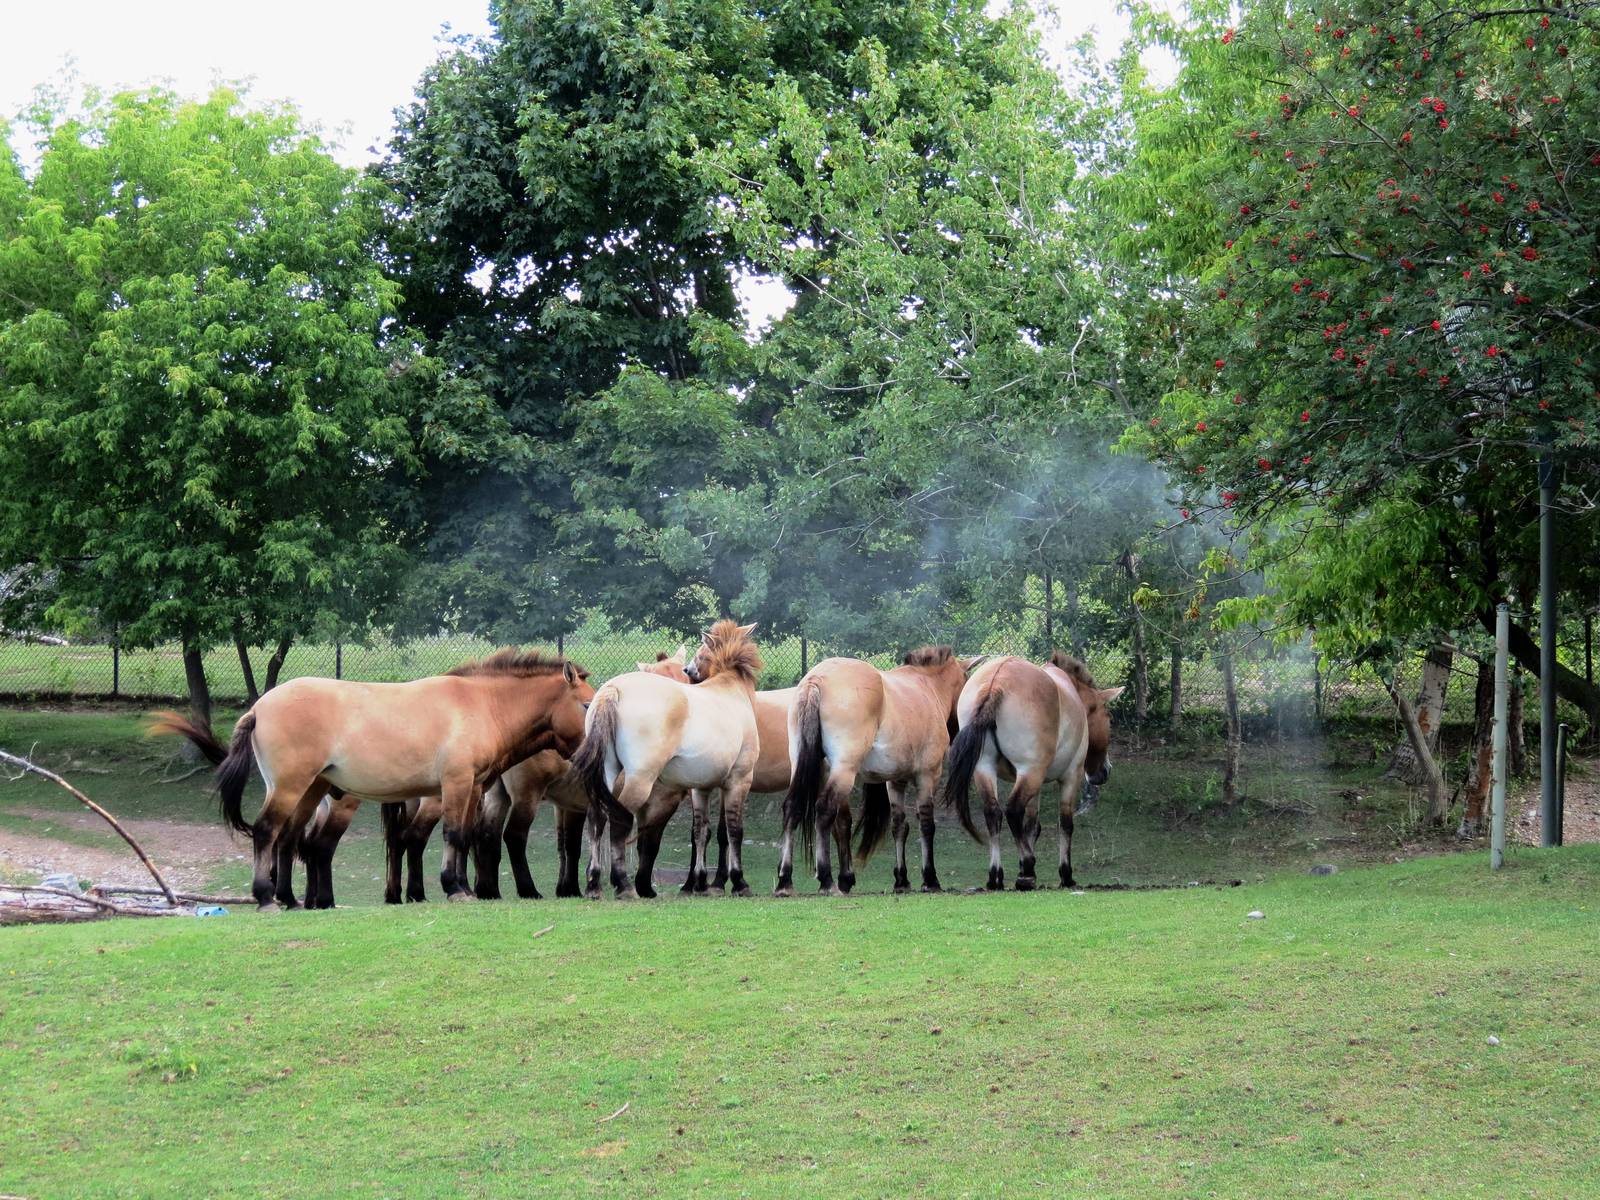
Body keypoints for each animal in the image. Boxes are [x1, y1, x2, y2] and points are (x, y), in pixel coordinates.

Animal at [153, 649, 594, 908]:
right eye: (588, 704)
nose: (592, 754)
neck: (481, 703)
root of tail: (259, 707)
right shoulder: (454, 784)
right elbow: (453, 835)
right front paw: (454, 888)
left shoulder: (474, 788)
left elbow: (465, 837)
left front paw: (465, 887)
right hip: (291, 787)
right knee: (267, 831)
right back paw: (267, 898)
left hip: (311, 790)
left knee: (290, 839)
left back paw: (293, 899)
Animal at [573, 620, 762, 898]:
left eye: (700, 650)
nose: (689, 670)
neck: (730, 688)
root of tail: (613, 689)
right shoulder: (739, 780)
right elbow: (734, 831)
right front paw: (739, 882)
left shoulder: (701, 788)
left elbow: (701, 831)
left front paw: (699, 883)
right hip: (640, 780)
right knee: (619, 820)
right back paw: (624, 885)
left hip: (606, 774)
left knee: (597, 818)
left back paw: (594, 883)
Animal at [778, 646, 976, 896]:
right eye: (966, 683)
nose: (958, 727)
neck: (926, 687)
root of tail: (816, 680)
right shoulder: (927, 775)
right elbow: (926, 824)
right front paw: (930, 879)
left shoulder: (896, 781)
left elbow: (898, 826)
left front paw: (900, 880)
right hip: (844, 770)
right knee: (824, 812)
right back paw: (826, 880)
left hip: (812, 768)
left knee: (799, 810)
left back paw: (786, 880)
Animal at [943, 651, 1122, 890]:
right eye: (1109, 718)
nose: (1104, 771)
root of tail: (996, 682)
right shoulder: (1070, 777)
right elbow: (1065, 824)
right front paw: (1065, 875)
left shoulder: (1035, 785)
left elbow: (1032, 826)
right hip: (1030, 772)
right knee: (1012, 810)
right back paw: (1027, 868)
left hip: (986, 770)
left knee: (993, 813)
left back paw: (996, 876)